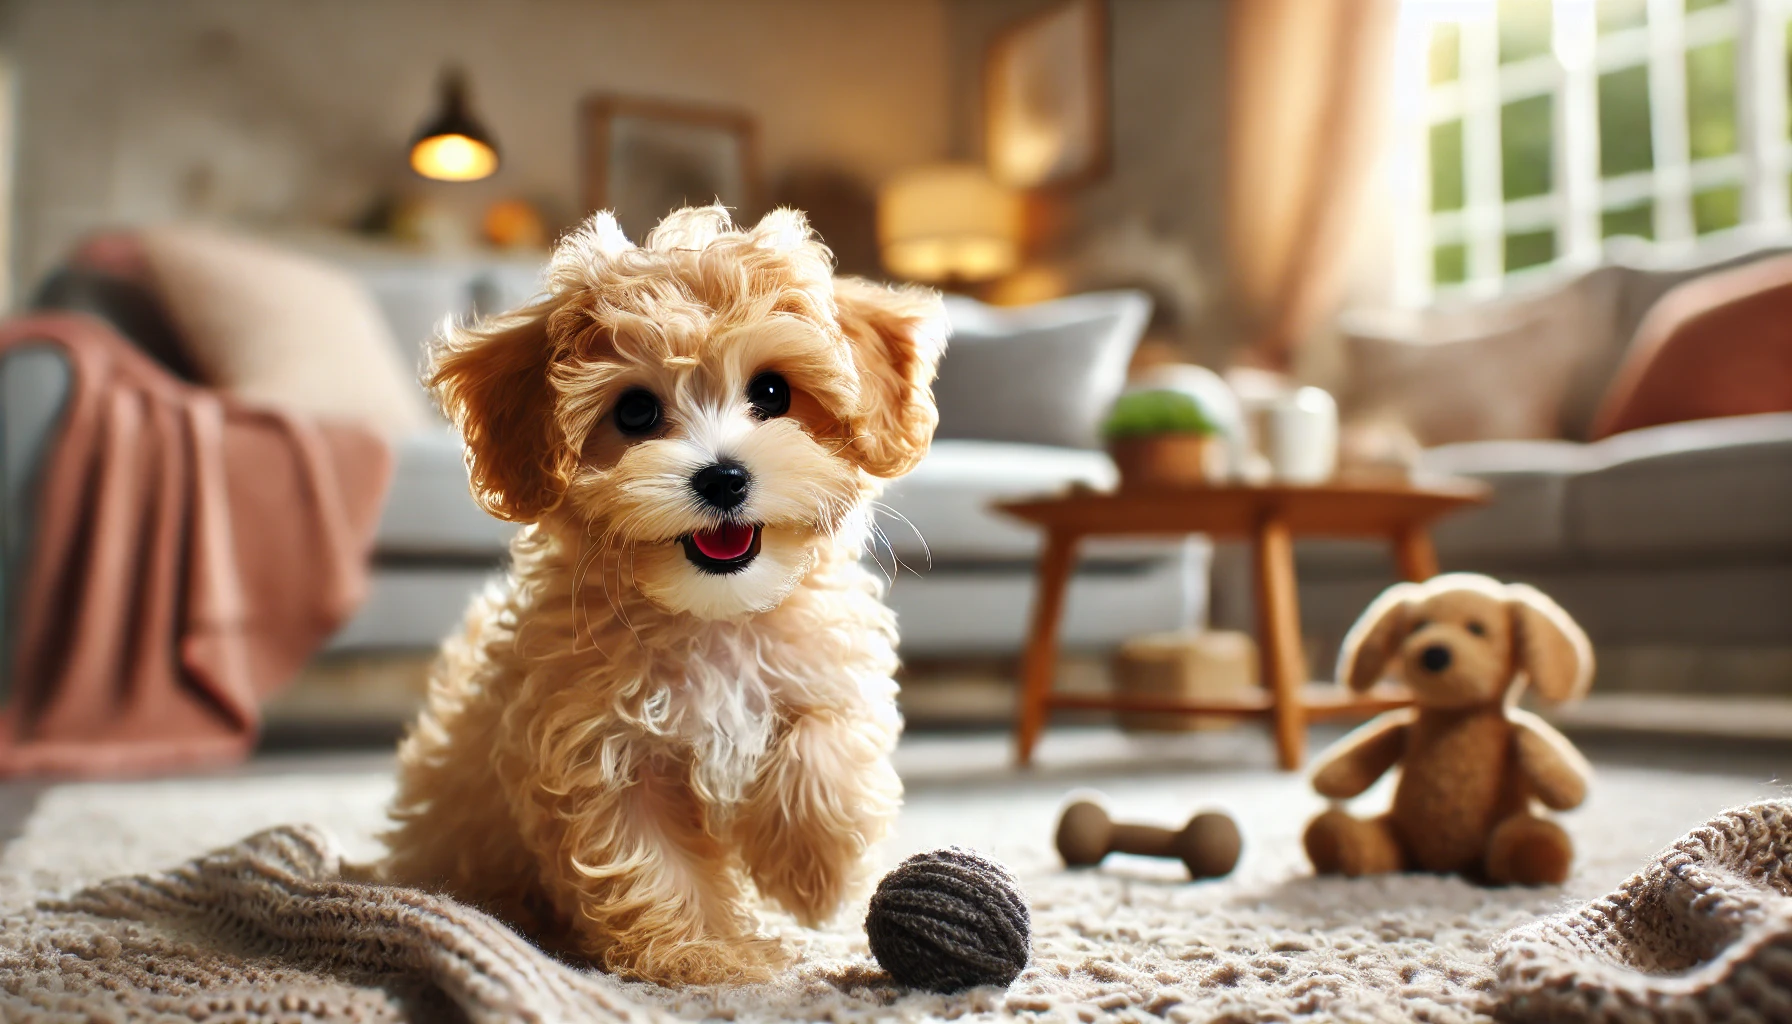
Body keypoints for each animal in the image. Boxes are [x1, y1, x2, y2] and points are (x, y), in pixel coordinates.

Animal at [379, 206, 953, 982]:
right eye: (635, 412)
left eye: (772, 392)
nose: (723, 478)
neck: (711, 618)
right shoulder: (601, 748)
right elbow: (654, 854)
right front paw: (704, 954)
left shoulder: (823, 663)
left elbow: (824, 736)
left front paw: (813, 871)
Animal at [1304, 573, 1598, 885]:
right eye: (1419, 626)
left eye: (1477, 629)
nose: (1434, 654)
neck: (1453, 717)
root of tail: (1443, 866)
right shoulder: (1402, 727)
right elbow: (1351, 762)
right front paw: (1325, 778)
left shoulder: (1519, 732)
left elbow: (1551, 766)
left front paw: (1572, 791)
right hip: (1397, 831)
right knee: (1368, 841)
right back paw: (1332, 841)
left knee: (1522, 838)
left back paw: (1535, 853)